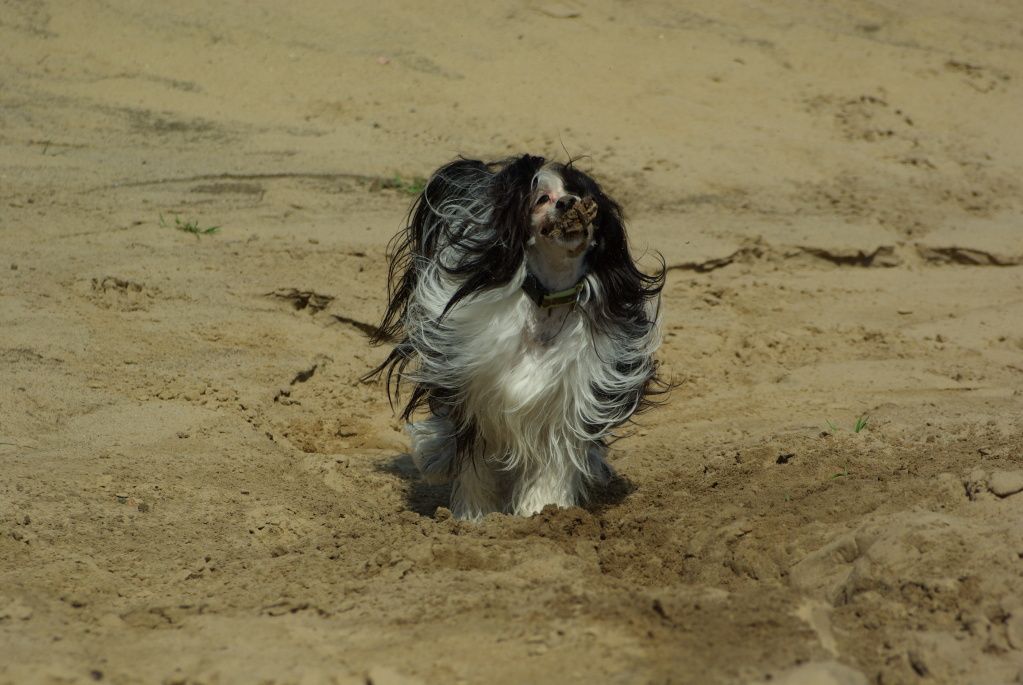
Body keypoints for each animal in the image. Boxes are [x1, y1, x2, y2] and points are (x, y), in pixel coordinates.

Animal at [369, 154, 665, 520]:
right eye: (542, 199)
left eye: (581, 195)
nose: (568, 203)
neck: (548, 301)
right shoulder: (478, 398)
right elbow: (475, 463)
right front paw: (474, 517)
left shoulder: (565, 403)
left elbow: (555, 463)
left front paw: (541, 512)